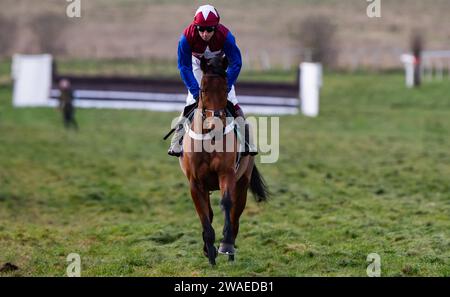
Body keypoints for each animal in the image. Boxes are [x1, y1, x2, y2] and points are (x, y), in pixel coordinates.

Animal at [178, 55, 270, 264]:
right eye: (203, 89)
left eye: (225, 88)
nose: (215, 125)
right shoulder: (195, 182)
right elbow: (204, 214)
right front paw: (209, 250)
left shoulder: (226, 173)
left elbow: (227, 204)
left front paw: (225, 245)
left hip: (243, 181)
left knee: (236, 212)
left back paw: (230, 248)